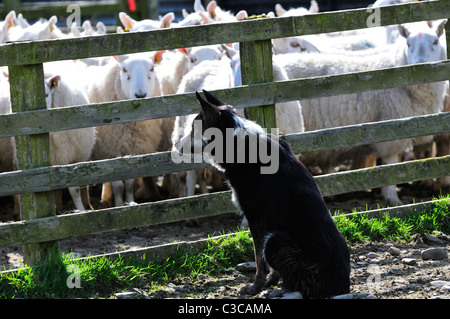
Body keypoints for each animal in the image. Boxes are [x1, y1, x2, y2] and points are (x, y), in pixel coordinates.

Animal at [86, 52, 163, 208]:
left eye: (152, 68)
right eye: (124, 69)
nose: (140, 95)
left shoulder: (134, 150)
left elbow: (129, 184)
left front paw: (131, 202)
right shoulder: (111, 151)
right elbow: (118, 186)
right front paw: (118, 205)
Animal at [174, 90, 350, 300]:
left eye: (193, 128)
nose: (175, 145)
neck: (239, 144)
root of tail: (342, 284)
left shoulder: (256, 218)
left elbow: (259, 259)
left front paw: (256, 287)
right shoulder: (265, 223)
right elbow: (267, 263)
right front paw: (270, 282)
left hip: (276, 241)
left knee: (301, 285)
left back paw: (282, 290)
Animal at [272, 20, 448, 205]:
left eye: (435, 42)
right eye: (408, 44)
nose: (421, 64)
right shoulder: (391, 128)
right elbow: (391, 164)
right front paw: (392, 198)